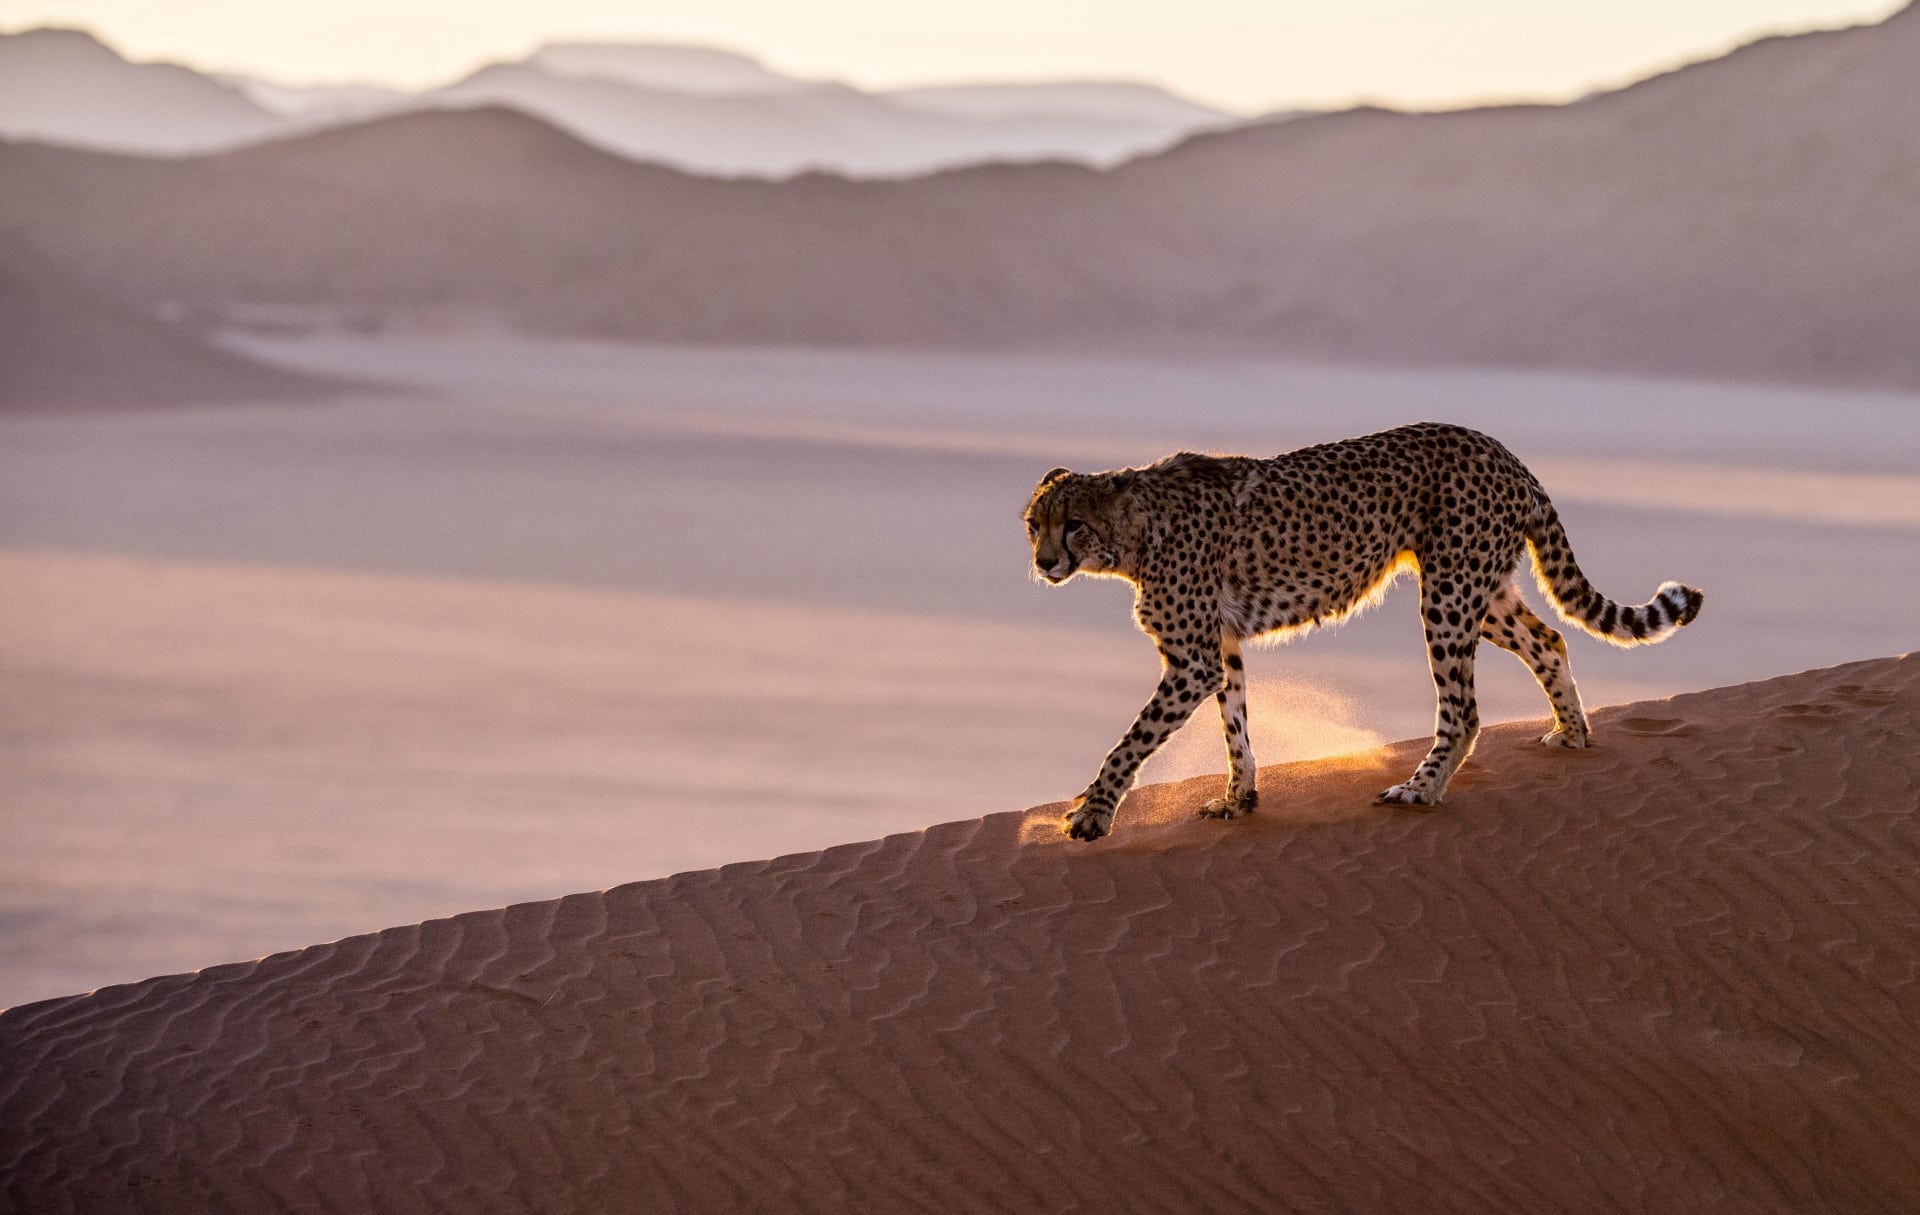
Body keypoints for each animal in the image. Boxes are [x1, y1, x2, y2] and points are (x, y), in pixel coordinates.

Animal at [1023, 421, 1703, 841]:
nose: (1044, 562)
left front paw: (1092, 813)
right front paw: (1239, 799)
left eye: (1074, 524)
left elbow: (1131, 741)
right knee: (1549, 640)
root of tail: (1499, 448)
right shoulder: (1221, 649)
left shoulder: (1192, 660)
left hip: (1449, 593)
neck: (1133, 533)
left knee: (1463, 708)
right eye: (1034, 524)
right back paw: (1571, 732)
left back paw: (1422, 789)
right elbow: (1233, 726)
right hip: (1481, 590)